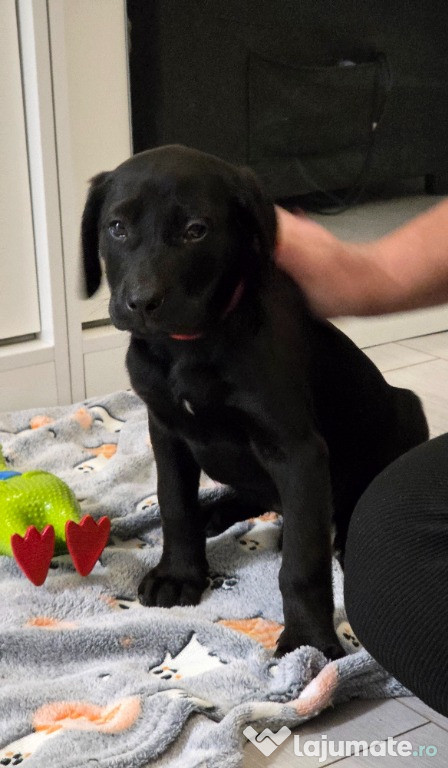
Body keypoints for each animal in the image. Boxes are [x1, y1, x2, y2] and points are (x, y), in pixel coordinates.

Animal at [81, 144, 429, 659]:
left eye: (196, 230)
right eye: (117, 227)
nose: (142, 303)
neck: (190, 346)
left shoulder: (298, 452)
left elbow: (303, 564)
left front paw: (309, 640)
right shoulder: (166, 431)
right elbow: (174, 504)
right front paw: (180, 574)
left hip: (405, 411)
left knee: (345, 506)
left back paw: (342, 536)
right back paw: (216, 512)